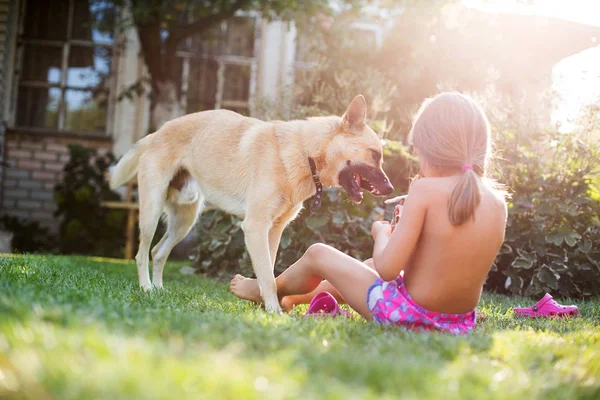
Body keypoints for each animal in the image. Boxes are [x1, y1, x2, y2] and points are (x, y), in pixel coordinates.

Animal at [110, 94, 396, 312]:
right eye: (374, 154)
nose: (391, 189)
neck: (305, 153)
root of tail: (156, 133)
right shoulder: (255, 227)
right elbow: (268, 276)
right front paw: (275, 312)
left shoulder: (274, 231)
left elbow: (269, 271)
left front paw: (265, 306)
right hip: (151, 213)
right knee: (141, 254)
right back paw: (146, 288)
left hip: (184, 220)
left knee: (158, 252)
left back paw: (159, 290)